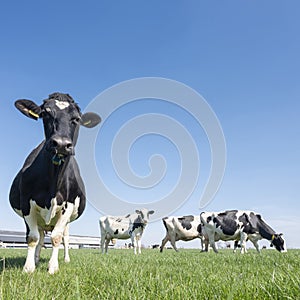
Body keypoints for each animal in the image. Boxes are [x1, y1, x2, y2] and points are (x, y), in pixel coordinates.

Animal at [9, 92, 101, 274]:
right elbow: (32, 238)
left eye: (76, 119)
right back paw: (36, 259)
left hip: (67, 221)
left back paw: (65, 259)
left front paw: (53, 267)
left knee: (65, 238)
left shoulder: (69, 206)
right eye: (45, 114)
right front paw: (29, 267)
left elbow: (57, 238)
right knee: (40, 236)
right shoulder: (26, 204)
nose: (61, 144)